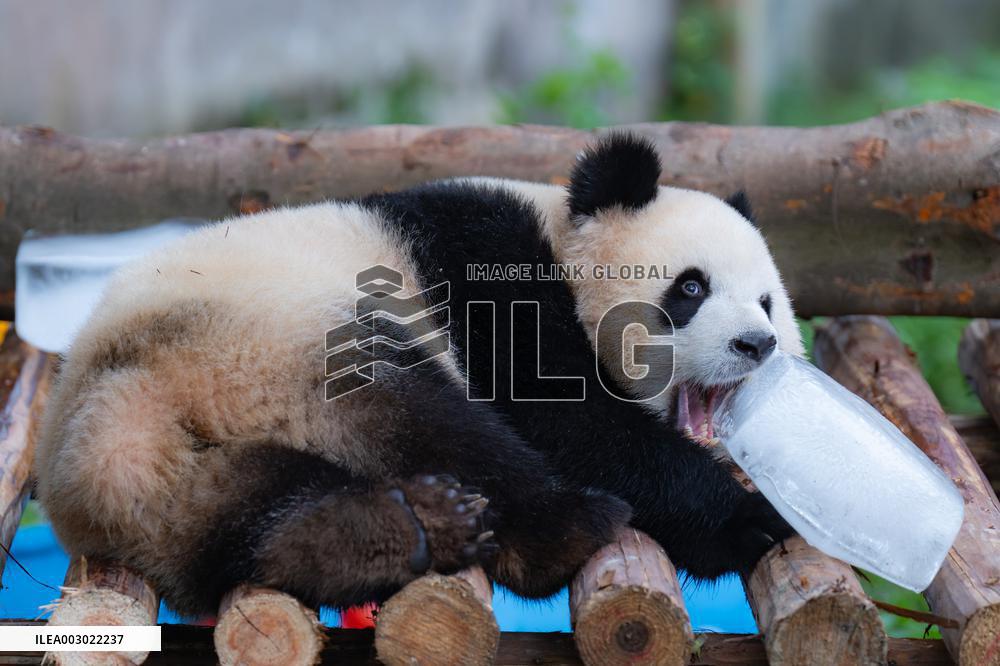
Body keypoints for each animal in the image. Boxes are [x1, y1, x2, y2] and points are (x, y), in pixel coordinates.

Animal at [34, 133, 803, 617]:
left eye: (768, 301)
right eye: (691, 288)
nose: (756, 343)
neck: (561, 243)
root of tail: (116, 399)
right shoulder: (493, 282)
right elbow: (575, 424)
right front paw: (751, 520)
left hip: (174, 494)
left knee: (249, 514)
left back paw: (366, 535)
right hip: (285, 339)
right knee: (432, 420)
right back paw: (561, 528)